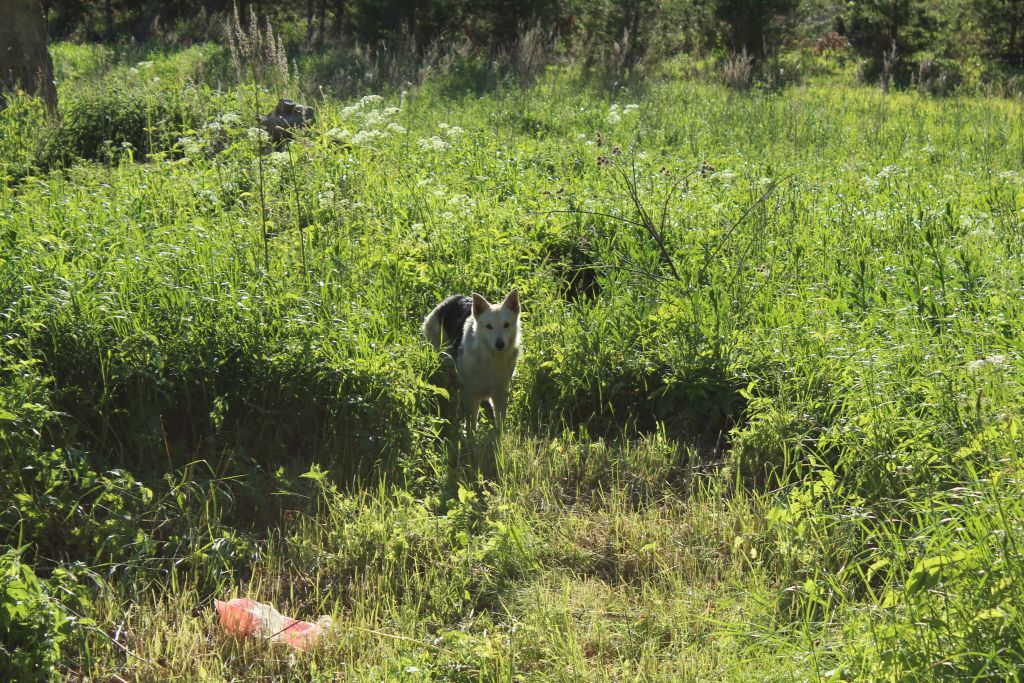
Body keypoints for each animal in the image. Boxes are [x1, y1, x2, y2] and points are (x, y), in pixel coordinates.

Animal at [421, 290, 520, 430]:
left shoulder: (501, 393)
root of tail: (450, 299)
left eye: (506, 325)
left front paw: (500, 434)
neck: (491, 358)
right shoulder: (471, 396)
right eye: (489, 326)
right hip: (444, 363)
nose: (499, 345)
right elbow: (471, 425)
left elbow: (500, 421)